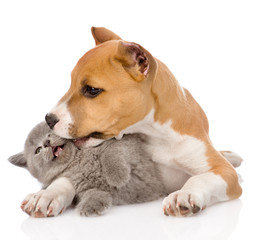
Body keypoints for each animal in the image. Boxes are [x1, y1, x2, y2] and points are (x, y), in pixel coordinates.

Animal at [8, 122, 167, 218]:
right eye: (38, 150)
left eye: (49, 133)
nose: (47, 143)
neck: (77, 160)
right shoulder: (81, 185)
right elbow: (93, 192)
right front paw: (91, 206)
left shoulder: (126, 143)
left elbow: (111, 150)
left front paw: (118, 176)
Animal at [45, 27, 242, 217]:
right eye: (71, 83)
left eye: (92, 90)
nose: (48, 119)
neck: (154, 133)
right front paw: (50, 194)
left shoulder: (223, 170)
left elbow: (199, 178)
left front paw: (183, 194)